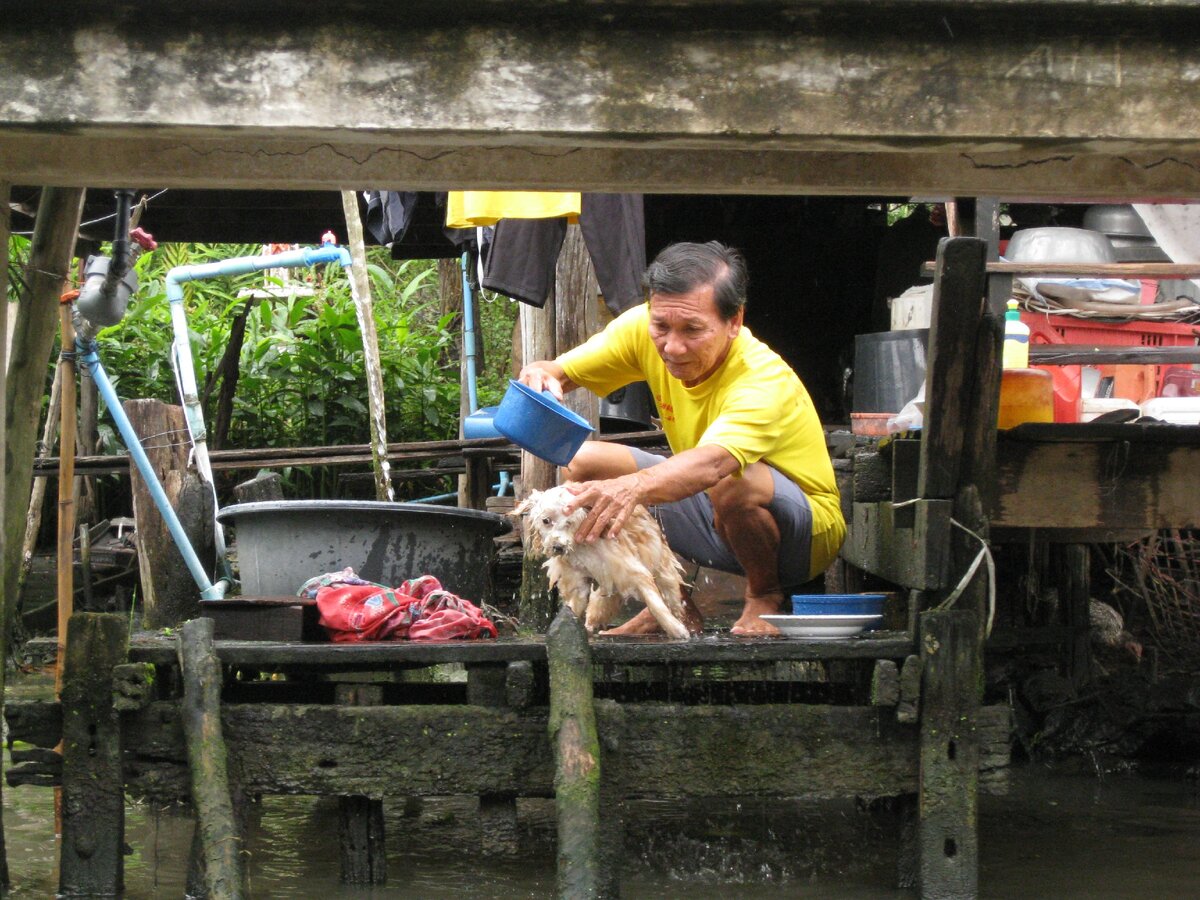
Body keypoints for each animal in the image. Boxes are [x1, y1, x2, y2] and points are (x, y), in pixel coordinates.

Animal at [511, 487, 691, 643]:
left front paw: (675, 629)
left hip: (663, 569)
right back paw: (590, 627)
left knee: (671, 597)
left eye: (569, 522)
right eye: (546, 521)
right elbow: (573, 609)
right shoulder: (577, 581)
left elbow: (655, 604)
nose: (558, 547)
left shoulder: (632, 570)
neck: (582, 547)